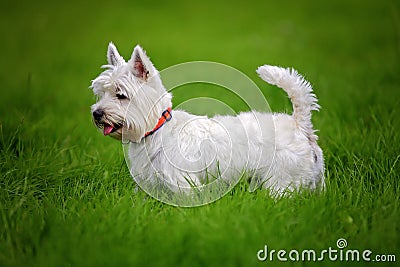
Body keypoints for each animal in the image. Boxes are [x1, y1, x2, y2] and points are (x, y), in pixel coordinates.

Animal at [90, 42, 324, 197]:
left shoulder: (182, 184)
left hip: (283, 181)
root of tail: (299, 124)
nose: (96, 113)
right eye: (102, 93)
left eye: (121, 95)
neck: (156, 130)